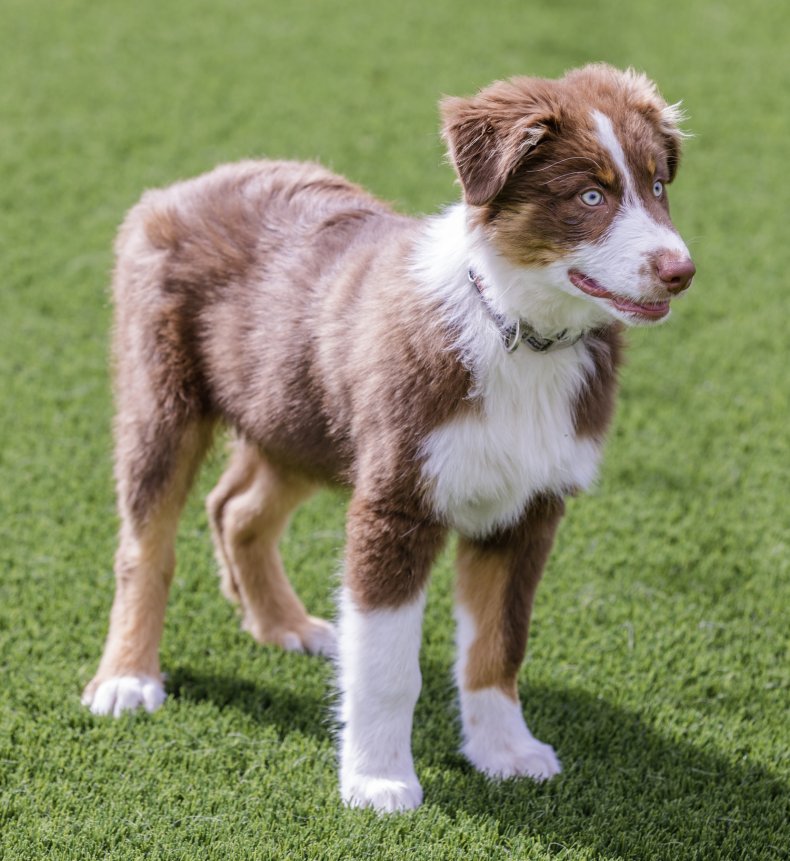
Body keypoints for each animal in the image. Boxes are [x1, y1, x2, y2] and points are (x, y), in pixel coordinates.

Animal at [83, 63, 696, 808]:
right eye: (589, 194)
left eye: (658, 186)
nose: (680, 271)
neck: (520, 334)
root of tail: (180, 187)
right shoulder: (397, 500)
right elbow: (386, 664)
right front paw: (378, 780)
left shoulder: (528, 508)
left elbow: (499, 643)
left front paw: (505, 752)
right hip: (164, 399)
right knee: (146, 544)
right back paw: (127, 677)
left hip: (301, 414)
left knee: (237, 509)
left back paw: (282, 624)